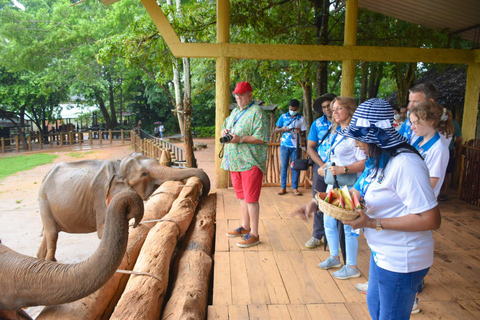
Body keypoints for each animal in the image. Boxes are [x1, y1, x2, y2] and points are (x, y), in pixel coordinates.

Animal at [37, 151, 210, 262]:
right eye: (144, 174)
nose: (202, 194)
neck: (118, 166)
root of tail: (46, 175)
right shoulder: (101, 197)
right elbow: (104, 230)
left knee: (49, 232)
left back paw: (41, 259)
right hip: (44, 200)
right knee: (52, 233)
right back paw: (51, 261)